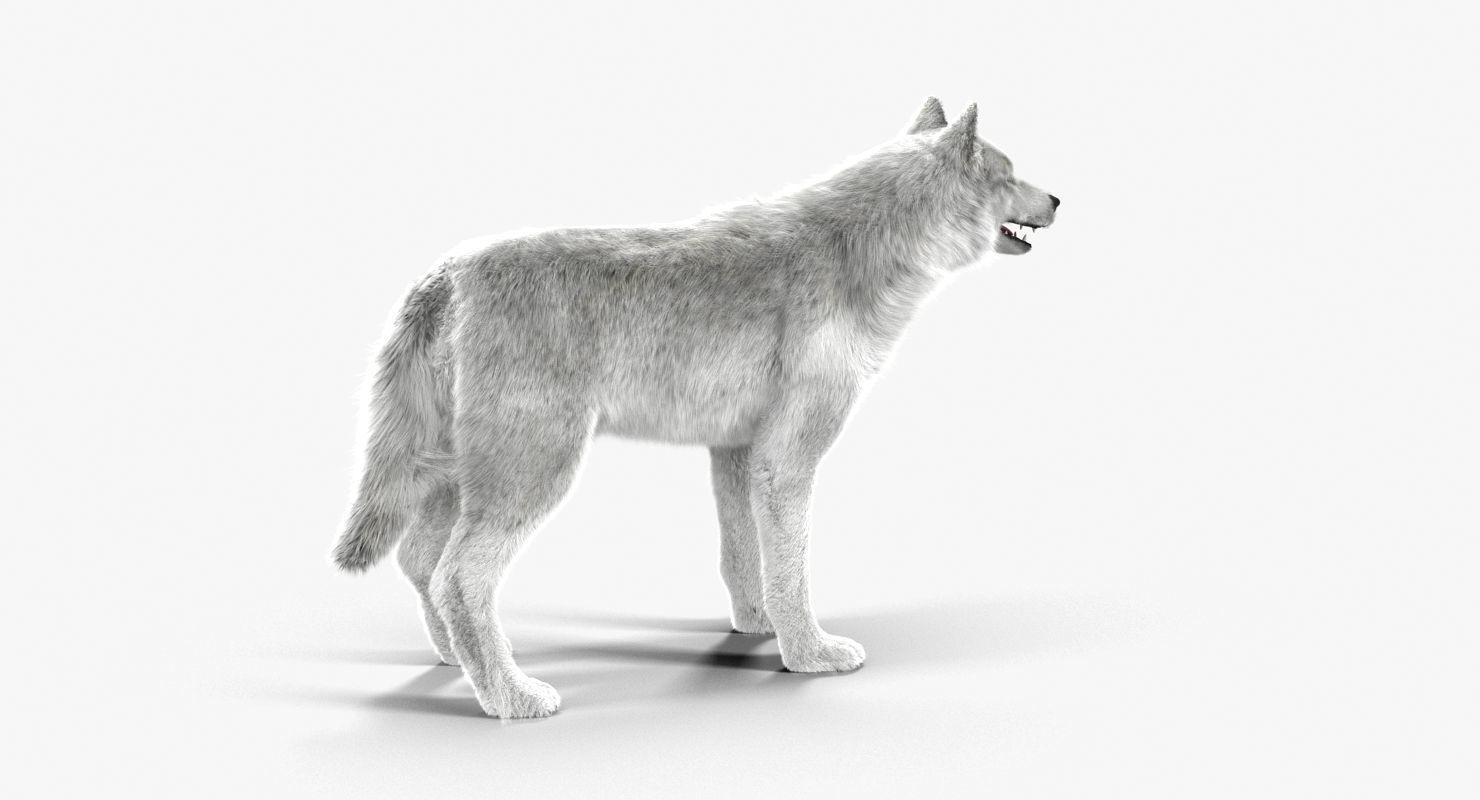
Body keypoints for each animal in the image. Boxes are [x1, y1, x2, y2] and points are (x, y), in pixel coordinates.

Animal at [332, 98, 1060, 718]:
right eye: (1010, 174)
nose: (1058, 197)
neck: (863, 252)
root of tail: (446, 272)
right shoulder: (786, 459)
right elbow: (792, 569)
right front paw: (811, 654)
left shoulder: (737, 452)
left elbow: (745, 558)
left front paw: (760, 629)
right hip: (533, 473)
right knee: (458, 577)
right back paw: (511, 698)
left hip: (456, 475)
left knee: (420, 561)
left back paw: (456, 664)